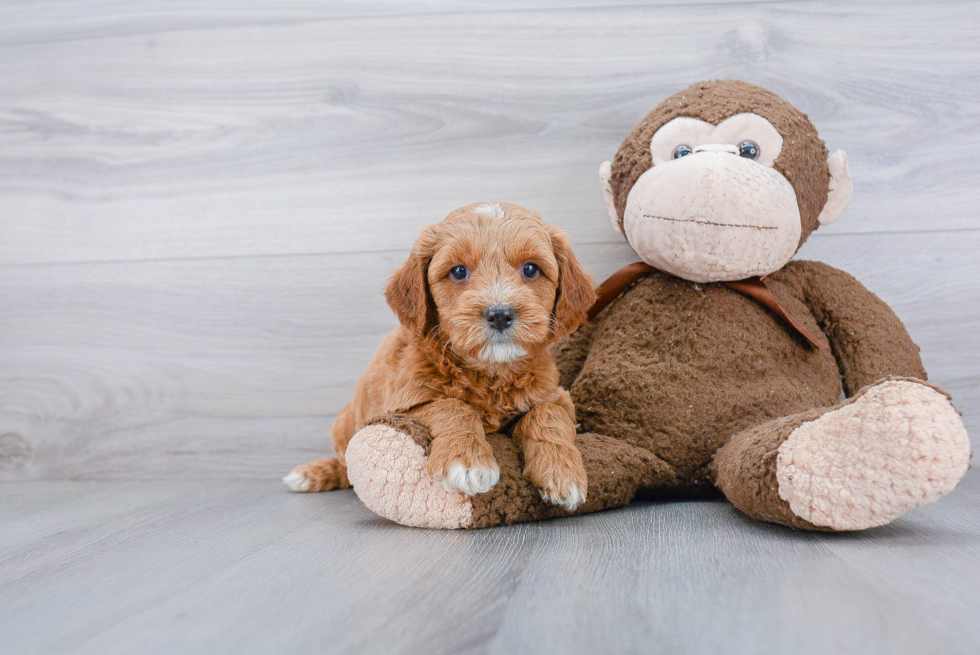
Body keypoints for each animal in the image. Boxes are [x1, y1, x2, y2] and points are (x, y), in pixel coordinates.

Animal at [280, 202, 592, 510]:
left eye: (530, 269)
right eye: (458, 272)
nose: (500, 314)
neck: (489, 372)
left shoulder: (557, 396)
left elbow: (547, 412)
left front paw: (562, 472)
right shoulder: (401, 407)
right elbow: (451, 405)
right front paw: (467, 461)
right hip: (344, 425)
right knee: (345, 464)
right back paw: (314, 473)